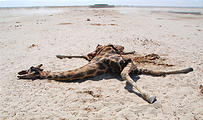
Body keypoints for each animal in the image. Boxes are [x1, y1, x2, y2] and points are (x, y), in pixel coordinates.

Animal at [17, 44, 193, 103]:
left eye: (32, 70)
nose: (19, 75)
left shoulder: (127, 62)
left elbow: (126, 74)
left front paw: (150, 96)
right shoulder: (128, 65)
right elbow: (155, 71)